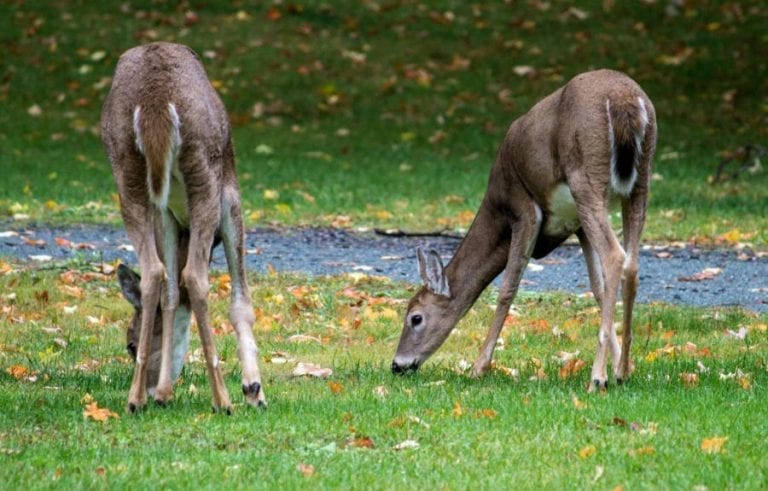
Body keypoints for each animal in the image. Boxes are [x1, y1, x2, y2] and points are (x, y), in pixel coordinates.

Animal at [101, 42, 266, 412]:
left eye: (130, 344)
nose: (150, 391)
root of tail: (155, 105)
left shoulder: (167, 215)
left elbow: (172, 295)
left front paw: (164, 392)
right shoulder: (230, 197)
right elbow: (240, 301)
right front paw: (254, 388)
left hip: (128, 174)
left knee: (155, 273)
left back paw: (134, 400)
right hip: (202, 168)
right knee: (195, 277)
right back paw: (222, 400)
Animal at [392, 70, 657, 391]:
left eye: (415, 318)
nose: (397, 365)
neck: (497, 207)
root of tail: (625, 100)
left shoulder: (523, 208)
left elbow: (508, 288)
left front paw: (479, 367)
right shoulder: (576, 224)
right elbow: (598, 287)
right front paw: (621, 365)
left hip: (587, 177)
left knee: (615, 255)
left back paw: (597, 378)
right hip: (640, 181)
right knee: (632, 263)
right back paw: (621, 371)